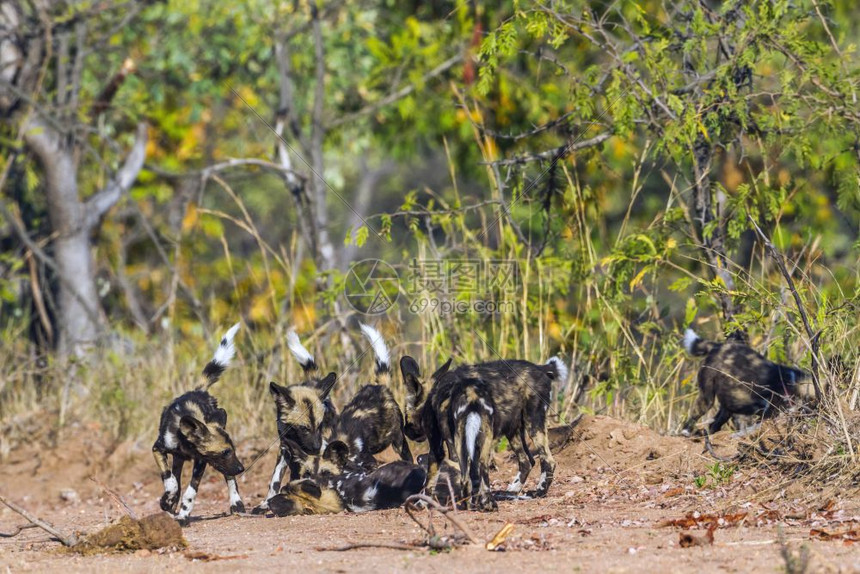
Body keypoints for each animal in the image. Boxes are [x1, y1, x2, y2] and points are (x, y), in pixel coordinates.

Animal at [151, 324, 244, 528]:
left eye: (232, 450)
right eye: (225, 452)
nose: (242, 468)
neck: (183, 439)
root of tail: (200, 391)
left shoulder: (201, 461)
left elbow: (190, 493)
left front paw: (183, 515)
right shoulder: (158, 449)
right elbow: (170, 481)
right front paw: (168, 501)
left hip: (217, 465)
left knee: (229, 477)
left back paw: (237, 503)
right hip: (179, 460)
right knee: (175, 478)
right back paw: (169, 503)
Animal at [680, 328, 816, 436]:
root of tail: (719, 346)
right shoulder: (767, 413)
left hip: (727, 407)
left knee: (715, 423)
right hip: (707, 399)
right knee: (696, 414)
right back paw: (686, 432)